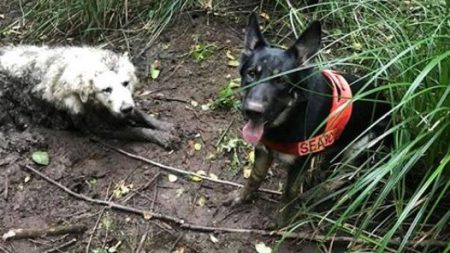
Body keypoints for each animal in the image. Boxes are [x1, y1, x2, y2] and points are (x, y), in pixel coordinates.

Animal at [0, 45, 179, 148]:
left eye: (125, 83)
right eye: (107, 89)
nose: (126, 108)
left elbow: (142, 115)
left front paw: (164, 126)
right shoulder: (99, 128)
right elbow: (136, 131)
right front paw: (161, 136)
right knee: (5, 132)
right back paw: (23, 140)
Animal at [227, 13, 388, 226]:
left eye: (281, 80)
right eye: (251, 73)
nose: (252, 111)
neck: (290, 117)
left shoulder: (298, 164)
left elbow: (288, 194)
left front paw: (281, 222)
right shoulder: (262, 150)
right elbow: (255, 177)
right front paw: (243, 197)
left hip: (361, 146)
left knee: (347, 176)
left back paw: (317, 192)